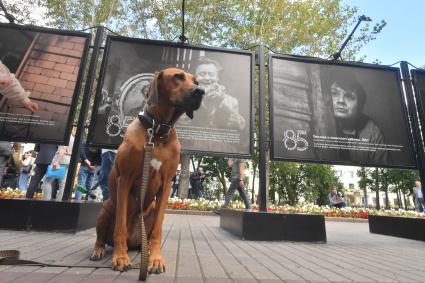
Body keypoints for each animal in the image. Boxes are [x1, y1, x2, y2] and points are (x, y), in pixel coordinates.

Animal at [89, 67, 204, 274]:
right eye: (178, 77)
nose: (200, 92)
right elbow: (120, 226)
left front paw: (156, 259)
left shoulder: (166, 185)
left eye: (196, 82)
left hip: (149, 211)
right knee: (102, 236)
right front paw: (120, 257)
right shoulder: (124, 179)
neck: (157, 132)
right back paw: (99, 250)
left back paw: (146, 250)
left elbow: (158, 229)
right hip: (106, 207)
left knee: (146, 236)